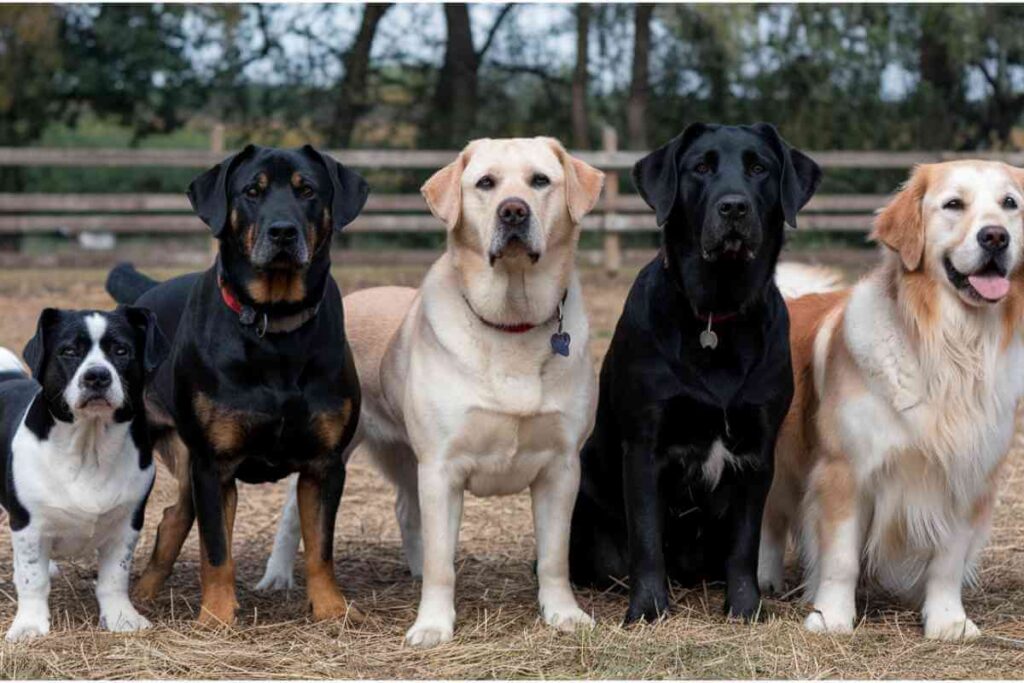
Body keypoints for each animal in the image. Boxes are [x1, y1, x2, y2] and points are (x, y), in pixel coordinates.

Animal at [0, 309, 167, 643]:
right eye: (68, 351)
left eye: (121, 350)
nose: (97, 376)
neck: (89, 446)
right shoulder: (27, 523)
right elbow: (32, 577)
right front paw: (29, 624)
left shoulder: (128, 522)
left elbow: (115, 576)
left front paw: (121, 617)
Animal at [102, 144, 368, 626]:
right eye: (251, 191)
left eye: (307, 191)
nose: (282, 231)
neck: (274, 325)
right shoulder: (214, 464)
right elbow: (216, 550)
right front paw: (216, 618)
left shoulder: (325, 463)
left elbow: (321, 547)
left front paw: (332, 610)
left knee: (174, 514)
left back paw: (146, 592)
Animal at [256, 137, 602, 647]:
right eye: (485, 183)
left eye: (540, 181)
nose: (513, 211)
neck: (512, 321)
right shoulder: (441, 466)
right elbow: (444, 561)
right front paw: (433, 625)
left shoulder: (562, 467)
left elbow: (554, 557)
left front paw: (563, 613)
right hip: (332, 448)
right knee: (291, 516)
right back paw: (276, 576)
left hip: (405, 454)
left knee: (405, 508)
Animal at [569, 122, 823, 626]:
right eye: (701, 167)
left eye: (759, 168)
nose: (734, 206)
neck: (715, 315)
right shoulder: (644, 446)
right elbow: (647, 539)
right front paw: (647, 610)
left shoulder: (757, 452)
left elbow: (745, 545)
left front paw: (744, 608)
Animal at [765, 160, 1024, 643]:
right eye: (953, 204)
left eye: (1010, 203)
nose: (996, 237)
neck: (950, 346)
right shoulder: (845, 470)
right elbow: (841, 558)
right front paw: (831, 617)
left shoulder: (966, 474)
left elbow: (947, 562)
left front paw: (947, 622)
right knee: (768, 521)